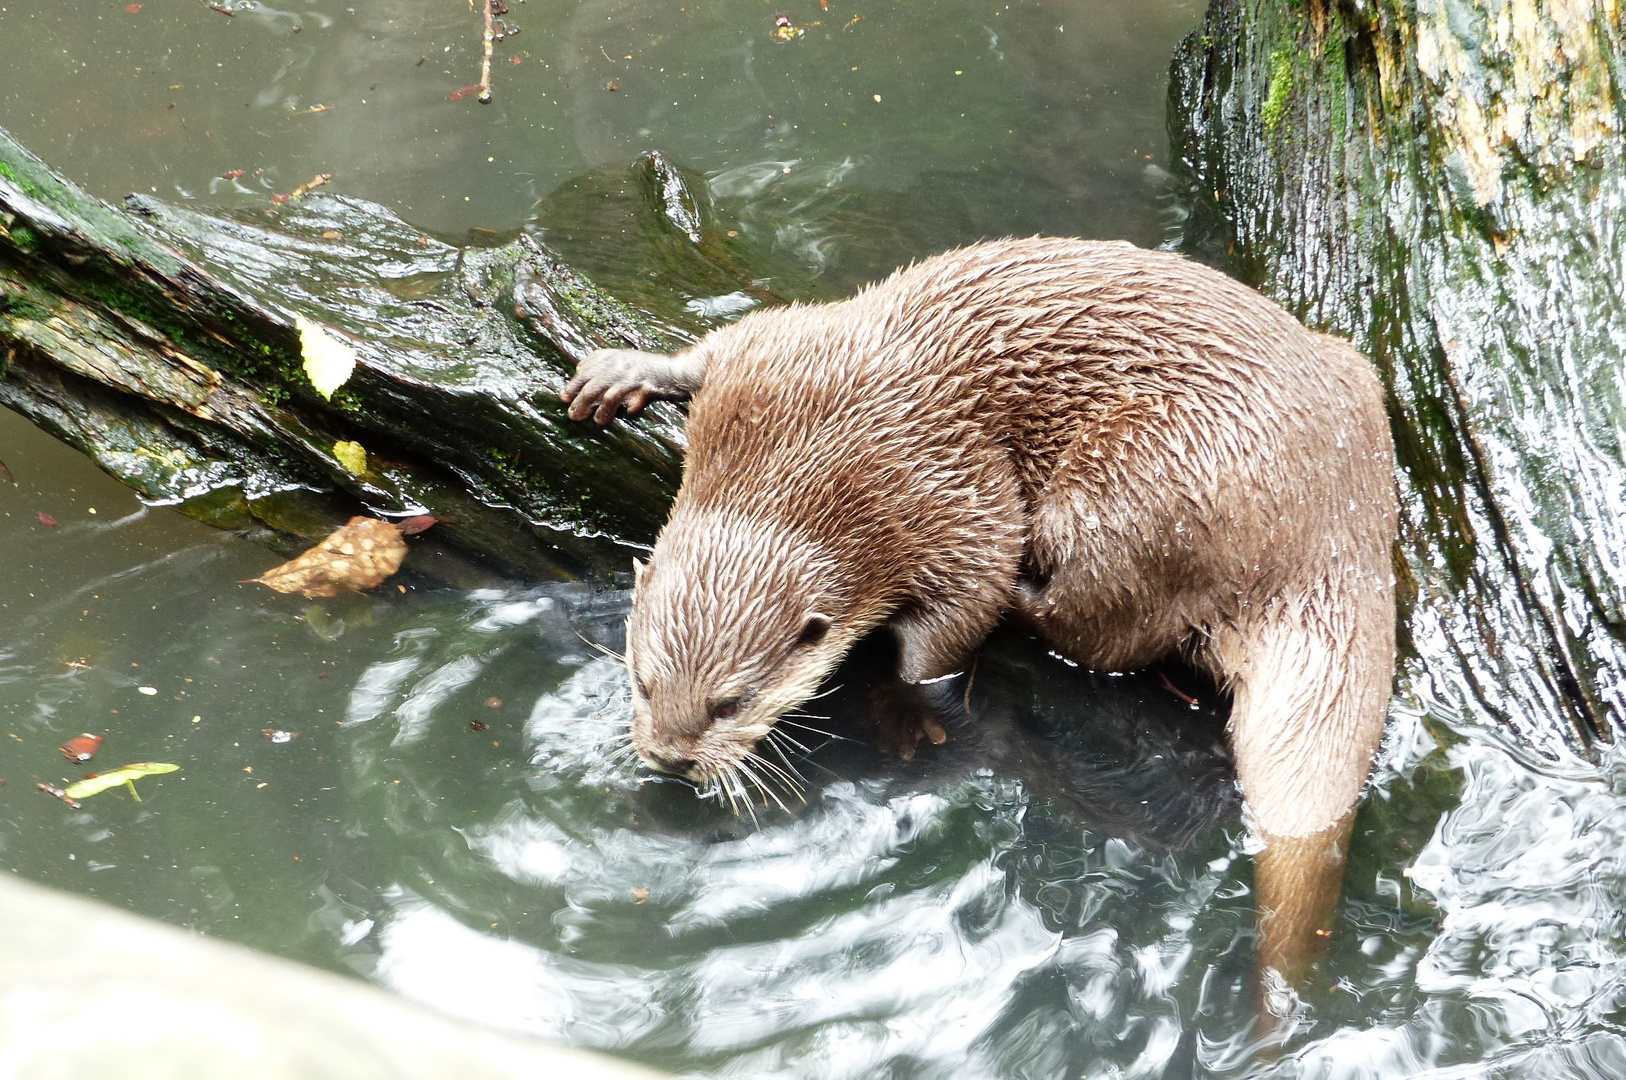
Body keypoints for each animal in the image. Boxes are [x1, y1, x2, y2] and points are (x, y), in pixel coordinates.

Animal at [562, 239, 1398, 988]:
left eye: (731, 703)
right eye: (641, 681)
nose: (670, 756)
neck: (812, 455)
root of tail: (1341, 518)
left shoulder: (940, 496)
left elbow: (963, 605)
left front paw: (902, 711)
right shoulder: (780, 365)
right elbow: (726, 343)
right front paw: (626, 370)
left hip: (1145, 484)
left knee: (1105, 626)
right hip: (1344, 384)